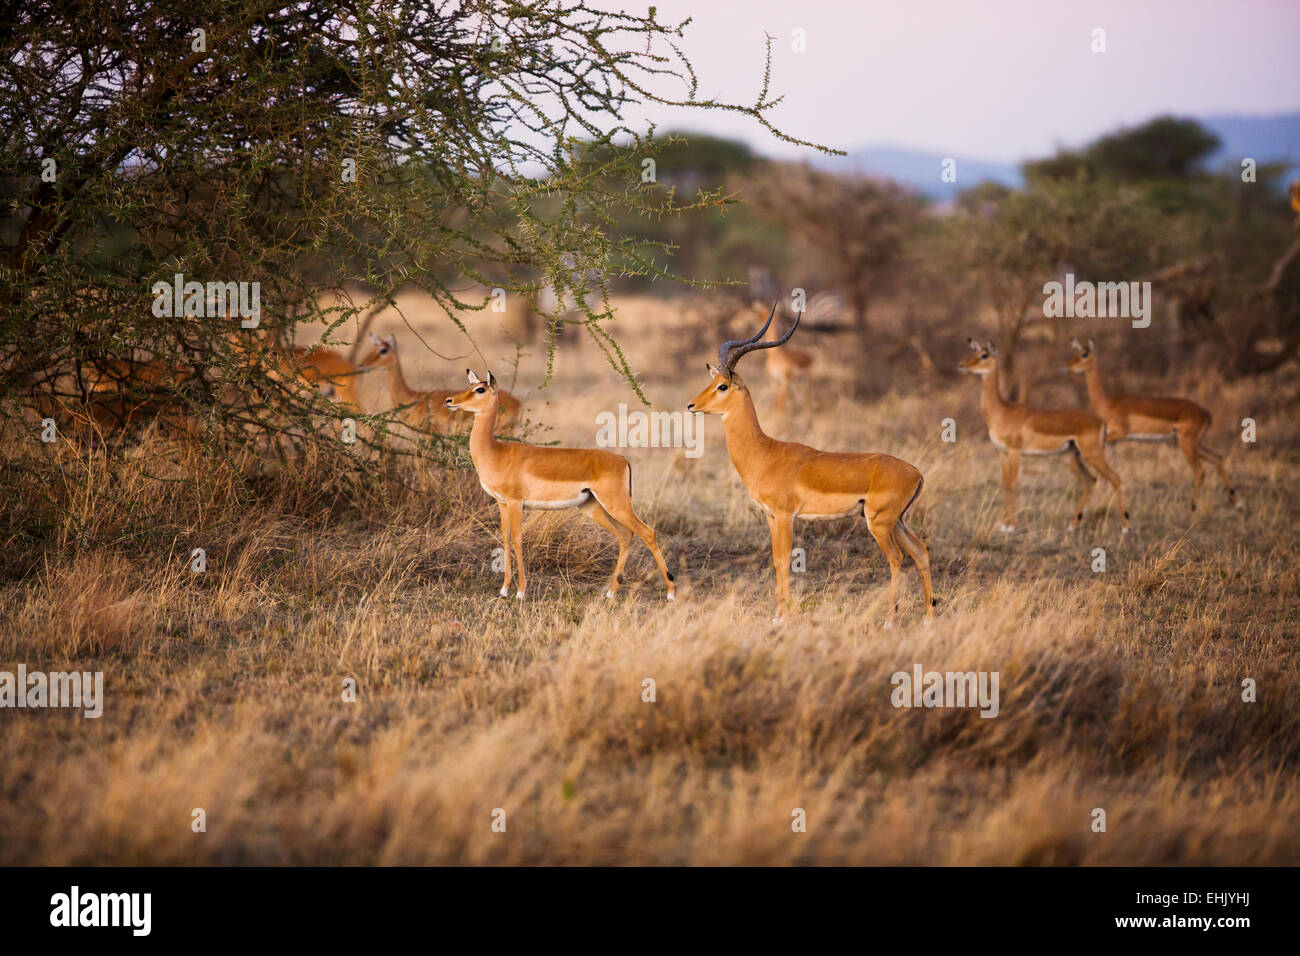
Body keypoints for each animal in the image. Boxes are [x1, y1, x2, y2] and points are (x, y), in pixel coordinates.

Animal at [444, 370, 675, 601]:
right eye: (470, 385)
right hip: (593, 507)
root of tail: (622, 460)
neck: (495, 452)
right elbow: (506, 539)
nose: (450, 401)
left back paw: (670, 592)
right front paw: (503, 590)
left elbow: (518, 540)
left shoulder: (516, 502)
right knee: (625, 535)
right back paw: (611, 592)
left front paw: (520, 592)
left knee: (648, 533)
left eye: (480, 389)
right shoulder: (502, 503)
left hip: (616, 505)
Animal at [687, 304, 934, 624]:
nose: (692, 405)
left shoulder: (785, 515)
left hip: (879, 523)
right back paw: (929, 616)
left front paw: (781, 616)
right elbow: (776, 560)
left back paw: (890, 620)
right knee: (921, 551)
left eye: (722, 386)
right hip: (897, 521)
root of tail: (916, 472)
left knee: (897, 559)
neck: (764, 452)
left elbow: (783, 561)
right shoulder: (770, 516)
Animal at [959, 338, 1130, 534]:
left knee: (1115, 478)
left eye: (984, 355)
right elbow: (1005, 484)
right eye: (973, 352)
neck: (1001, 411)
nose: (962, 365)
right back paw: (1073, 525)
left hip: (1093, 455)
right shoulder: (1002, 452)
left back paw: (1125, 527)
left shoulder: (1015, 451)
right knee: (1091, 481)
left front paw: (1012, 525)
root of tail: (1101, 422)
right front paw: (1004, 525)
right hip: (1075, 458)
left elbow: (1012, 483)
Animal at [1063, 339, 1239, 511]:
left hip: (1187, 444)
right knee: (1218, 458)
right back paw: (1235, 502)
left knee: (1200, 471)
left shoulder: (1118, 434)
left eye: (1084, 354)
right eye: (1074, 352)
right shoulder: (1113, 441)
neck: (1108, 403)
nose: (1066, 365)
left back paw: (1192, 508)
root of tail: (1207, 413)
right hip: (1193, 443)